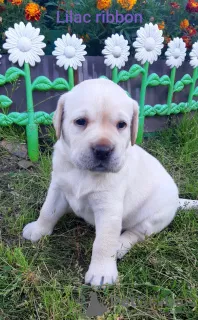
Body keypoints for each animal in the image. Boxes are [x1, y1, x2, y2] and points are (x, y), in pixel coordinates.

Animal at [22, 79, 196, 286]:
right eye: (80, 121)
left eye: (121, 125)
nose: (103, 150)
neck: (84, 172)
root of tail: (177, 200)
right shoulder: (57, 187)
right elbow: (48, 210)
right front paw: (38, 230)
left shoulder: (109, 208)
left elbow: (103, 242)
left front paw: (102, 272)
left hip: (153, 219)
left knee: (135, 233)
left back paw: (120, 245)